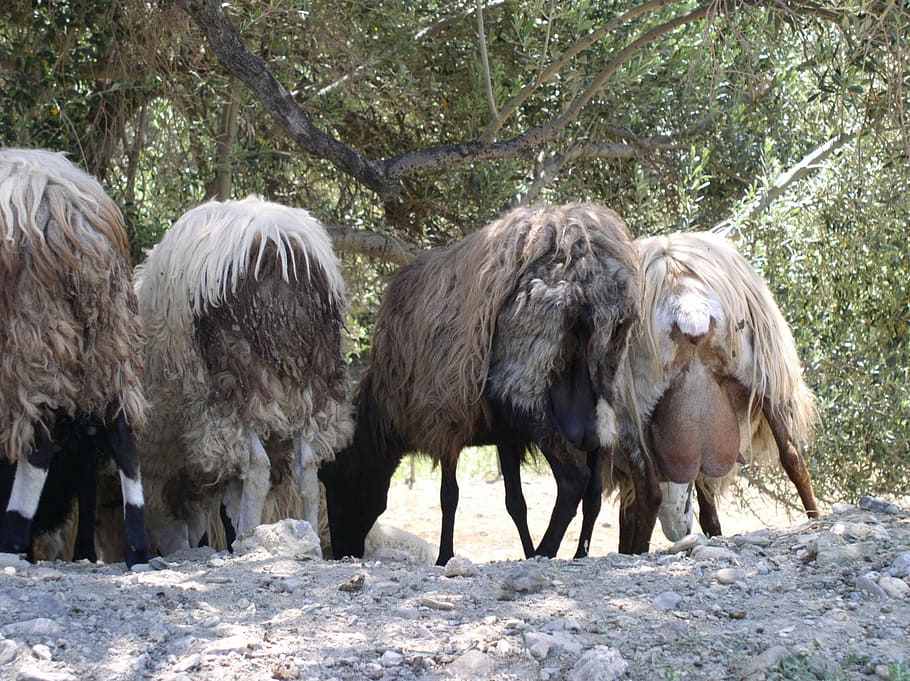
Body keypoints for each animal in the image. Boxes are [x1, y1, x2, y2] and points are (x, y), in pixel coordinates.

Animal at [0, 147, 150, 567]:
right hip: (110, 336)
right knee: (123, 436)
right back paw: (136, 549)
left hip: (33, 332)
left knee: (39, 443)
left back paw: (12, 539)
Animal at [133, 195, 353, 555]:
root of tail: (275, 239)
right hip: (314, 378)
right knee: (307, 468)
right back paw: (312, 541)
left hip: (234, 376)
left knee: (257, 466)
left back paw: (249, 540)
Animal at [319, 203, 649, 566]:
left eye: (334, 479)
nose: (342, 552)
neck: (384, 408)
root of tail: (582, 259)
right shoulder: (506, 436)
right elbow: (515, 503)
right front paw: (524, 547)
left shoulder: (444, 418)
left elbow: (448, 496)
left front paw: (445, 556)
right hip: (603, 394)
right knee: (593, 492)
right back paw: (578, 554)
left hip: (526, 385)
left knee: (574, 479)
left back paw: (545, 551)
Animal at [605, 230, 818, 550]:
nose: (678, 530)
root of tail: (687, 303)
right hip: (760, 378)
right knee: (792, 457)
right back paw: (816, 519)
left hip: (632, 407)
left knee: (649, 492)